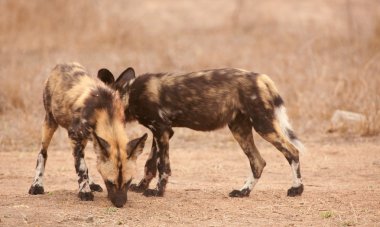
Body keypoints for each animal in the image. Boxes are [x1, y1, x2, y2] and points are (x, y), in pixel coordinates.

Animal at [27, 62, 147, 207]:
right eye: (110, 182)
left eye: (128, 182)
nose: (119, 203)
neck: (106, 112)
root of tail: (62, 64)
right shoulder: (75, 136)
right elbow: (81, 167)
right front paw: (84, 192)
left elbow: (86, 165)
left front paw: (88, 186)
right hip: (50, 123)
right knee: (42, 153)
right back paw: (37, 185)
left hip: (85, 139)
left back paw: (92, 184)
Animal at [98, 68, 306, 199]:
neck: (130, 93)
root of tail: (261, 77)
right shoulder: (159, 132)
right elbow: (150, 164)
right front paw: (141, 187)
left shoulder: (162, 130)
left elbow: (163, 166)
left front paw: (157, 192)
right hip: (239, 129)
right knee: (258, 162)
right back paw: (243, 192)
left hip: (263, 125)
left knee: (292, 151)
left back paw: (296, 189)